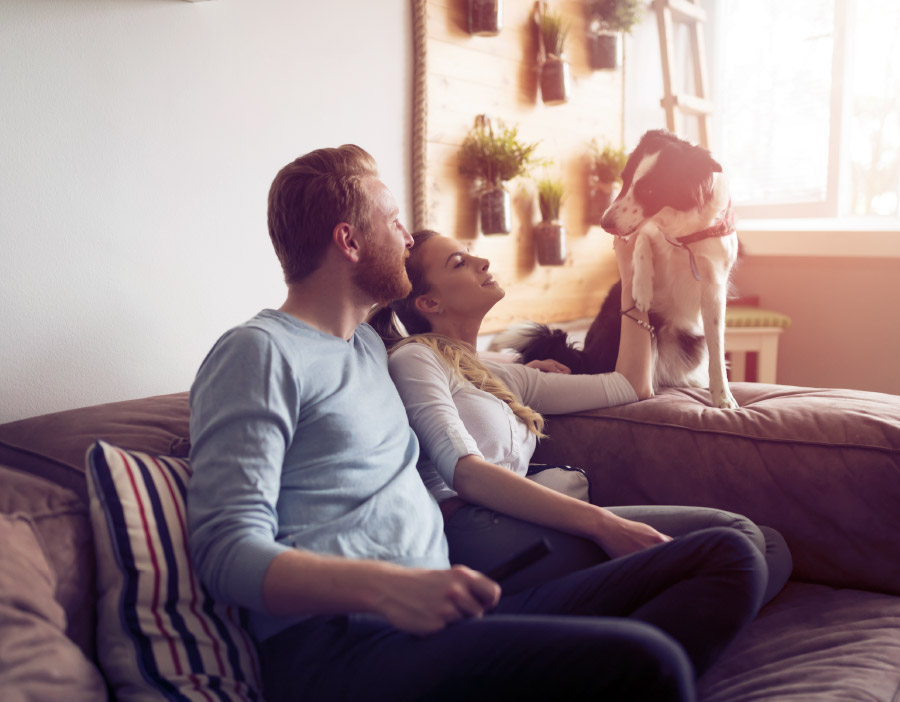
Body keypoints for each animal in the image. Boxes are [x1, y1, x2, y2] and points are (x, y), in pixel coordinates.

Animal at [502, 129, 740, 410]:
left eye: (650, 190)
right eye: (624, 179)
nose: (605, 224)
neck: (681, 238)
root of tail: (586, 357)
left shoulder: (714, 287)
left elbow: (717, 349)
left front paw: (723, 396)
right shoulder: (639, 234)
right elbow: (642, 239)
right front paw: (642, 289)